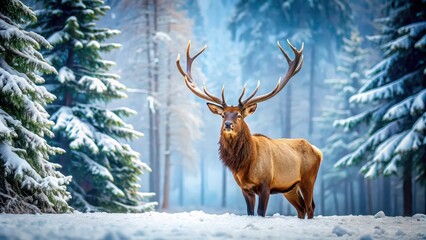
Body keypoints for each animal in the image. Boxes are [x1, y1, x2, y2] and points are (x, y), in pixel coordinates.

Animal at [176, 40, 322, 218]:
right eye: (223, 115)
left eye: (239, 115)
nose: (228, 124)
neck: (245, 164)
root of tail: (317, 150)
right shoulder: (245, 188)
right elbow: (250, 212)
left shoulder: (266, 184)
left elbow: (261, 212)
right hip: (290, 188)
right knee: (301, 208)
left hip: (308, 178)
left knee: (310, 207)